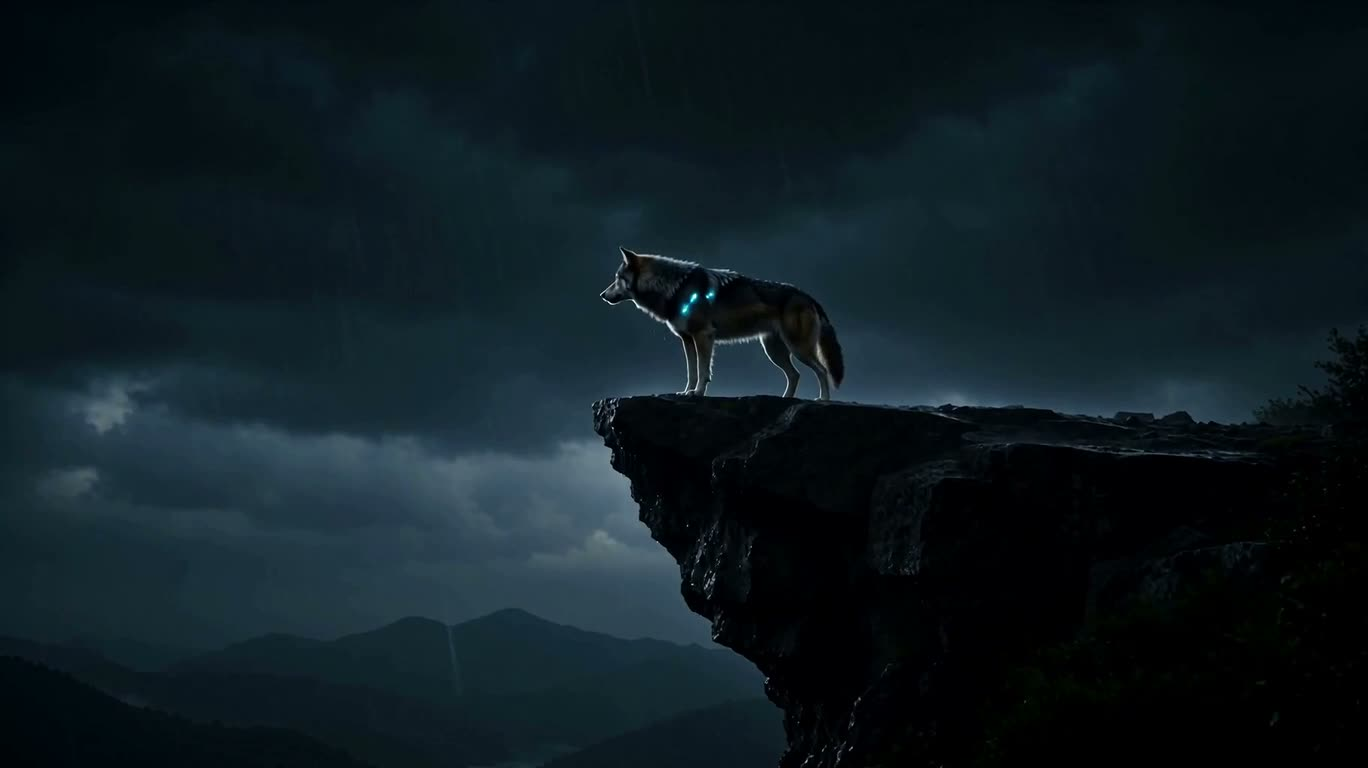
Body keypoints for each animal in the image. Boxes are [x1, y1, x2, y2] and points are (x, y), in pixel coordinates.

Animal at [599, 246, 845, 400]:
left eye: (617, 278)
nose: (602, 295)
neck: (673, 288)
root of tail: (806, 295)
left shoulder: (703, 336)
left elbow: (703, 371)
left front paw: (698, 393)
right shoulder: (687, 340)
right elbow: (691, 371)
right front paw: (686, 392)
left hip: (797, 349)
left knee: (822, 370)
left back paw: (822, 400)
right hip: (774, 351)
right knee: (795, 375)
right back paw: (786, 399)